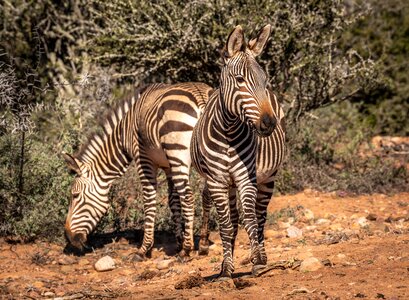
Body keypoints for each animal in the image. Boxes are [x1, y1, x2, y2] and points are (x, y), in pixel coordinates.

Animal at [63, 81, 214, 258]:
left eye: (75, 195)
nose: (68, 237)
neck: (123, 133)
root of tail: (201, 97)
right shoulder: (168, 166)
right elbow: (173, 201)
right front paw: (178, 241)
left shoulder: (143, 159)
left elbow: (149, 200)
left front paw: (144, 249)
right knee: (206, 195)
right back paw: (203, 244)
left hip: (177, 152)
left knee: (189, 197)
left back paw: (187, 249)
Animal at [190, 24, 280, 278]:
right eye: (239, 79)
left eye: (264, 80)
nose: (269, 123)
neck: (228, 132)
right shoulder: (217, 181)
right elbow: (226, 226)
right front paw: (226, 270)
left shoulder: (246, 178)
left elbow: (251, 220)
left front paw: (257, 261)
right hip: (228, 185)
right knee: (234, 218)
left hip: (268, 178)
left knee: (260, 217)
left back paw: (262, 256)